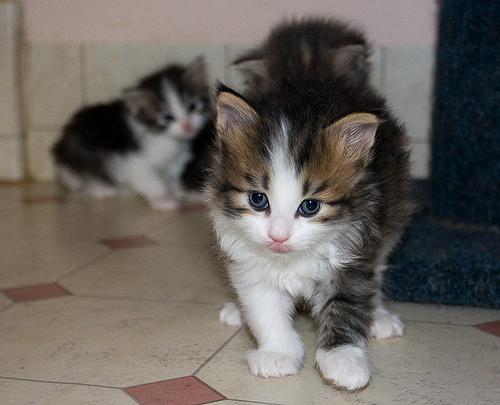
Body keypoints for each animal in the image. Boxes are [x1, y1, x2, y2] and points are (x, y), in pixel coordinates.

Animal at [52, 56, 211, 208]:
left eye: (192, 106)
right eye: (167, 117)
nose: (187, 125)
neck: (166, 139)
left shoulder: (175, 162)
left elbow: (172, 178)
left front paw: (177, 192)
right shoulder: (135, 163)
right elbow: (151, 181)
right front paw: (163, 199)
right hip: (81, 154)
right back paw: (99, 188)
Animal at [205, 19, 412, 388]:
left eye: (310, 206)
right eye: (257, 199)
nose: (278, 236)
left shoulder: (356, 250)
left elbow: (348, 301)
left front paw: (343, 360)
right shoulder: (248, 262)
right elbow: (265, 308)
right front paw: (277, 354)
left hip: (394, 211)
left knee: (378, 271)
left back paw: (379, 315)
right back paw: (235, 310)